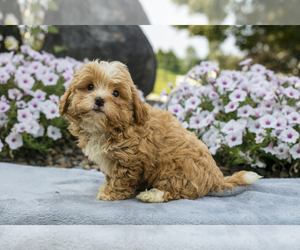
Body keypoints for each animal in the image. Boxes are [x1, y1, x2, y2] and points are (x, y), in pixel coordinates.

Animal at [58, 60, 260, 203]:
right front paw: (108, 187)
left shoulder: (129, 159)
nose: (99, 100)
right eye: (90, 87)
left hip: (176, 169)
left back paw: (152, 195)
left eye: (116, 93)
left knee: (177, 192)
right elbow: (110, 176)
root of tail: (216, 177)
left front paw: (111, 193)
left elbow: (121, 179)